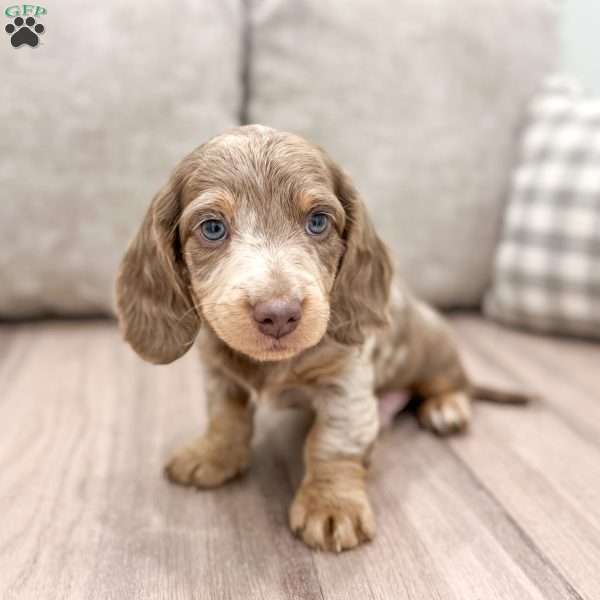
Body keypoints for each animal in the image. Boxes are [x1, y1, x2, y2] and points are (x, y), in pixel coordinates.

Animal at [116, 126, 520, 552]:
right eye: (212, 228)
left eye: (318, 221)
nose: (278, 314)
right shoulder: (219, 374)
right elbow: (226, 417)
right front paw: (213, 454)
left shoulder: (346, 384)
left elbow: (331, 444)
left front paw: (331, 505)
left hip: (433, 351)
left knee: (452, 382)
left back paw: (446, 407)